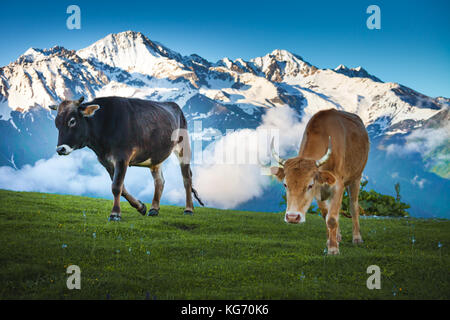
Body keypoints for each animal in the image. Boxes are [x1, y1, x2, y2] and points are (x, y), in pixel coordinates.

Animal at [270, 109, 370, 255]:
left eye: (310, 185)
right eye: (285, 184)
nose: (292, 217)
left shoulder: (337, 185)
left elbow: (332, 218)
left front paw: (333, 249)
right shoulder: (319, 192)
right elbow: (325, 214)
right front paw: (330, 242)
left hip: (356, 177)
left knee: (353, 206)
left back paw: (357, 238)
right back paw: (338, 236)